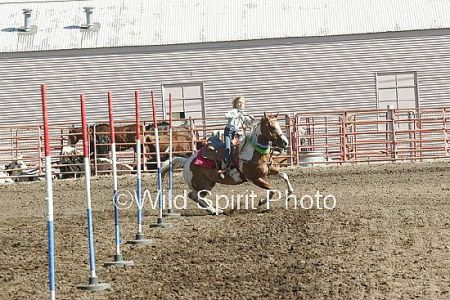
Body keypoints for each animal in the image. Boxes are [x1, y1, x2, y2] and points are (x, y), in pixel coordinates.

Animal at [160, 113, 294, 216]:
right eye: (271, 127)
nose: (285, 142)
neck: (253, 152)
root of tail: (187, 161)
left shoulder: (268, 170)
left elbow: (284, 175)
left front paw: (289, 194)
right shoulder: (254, 178)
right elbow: (272, 189)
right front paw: (261, 202)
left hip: (208, 184)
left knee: (198, 197)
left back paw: (214, 210)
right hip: (201, 184)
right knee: (194, 195)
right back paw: (214, 210)